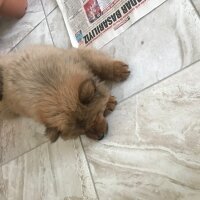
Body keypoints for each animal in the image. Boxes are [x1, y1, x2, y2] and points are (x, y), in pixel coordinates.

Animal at [0, 45, 130, 142]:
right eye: (82, 133)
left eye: (94, 119)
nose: (100, 137)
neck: (52, 84)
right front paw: (108, 102)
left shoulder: (78, 56)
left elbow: (99, 65)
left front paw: (118, 70)